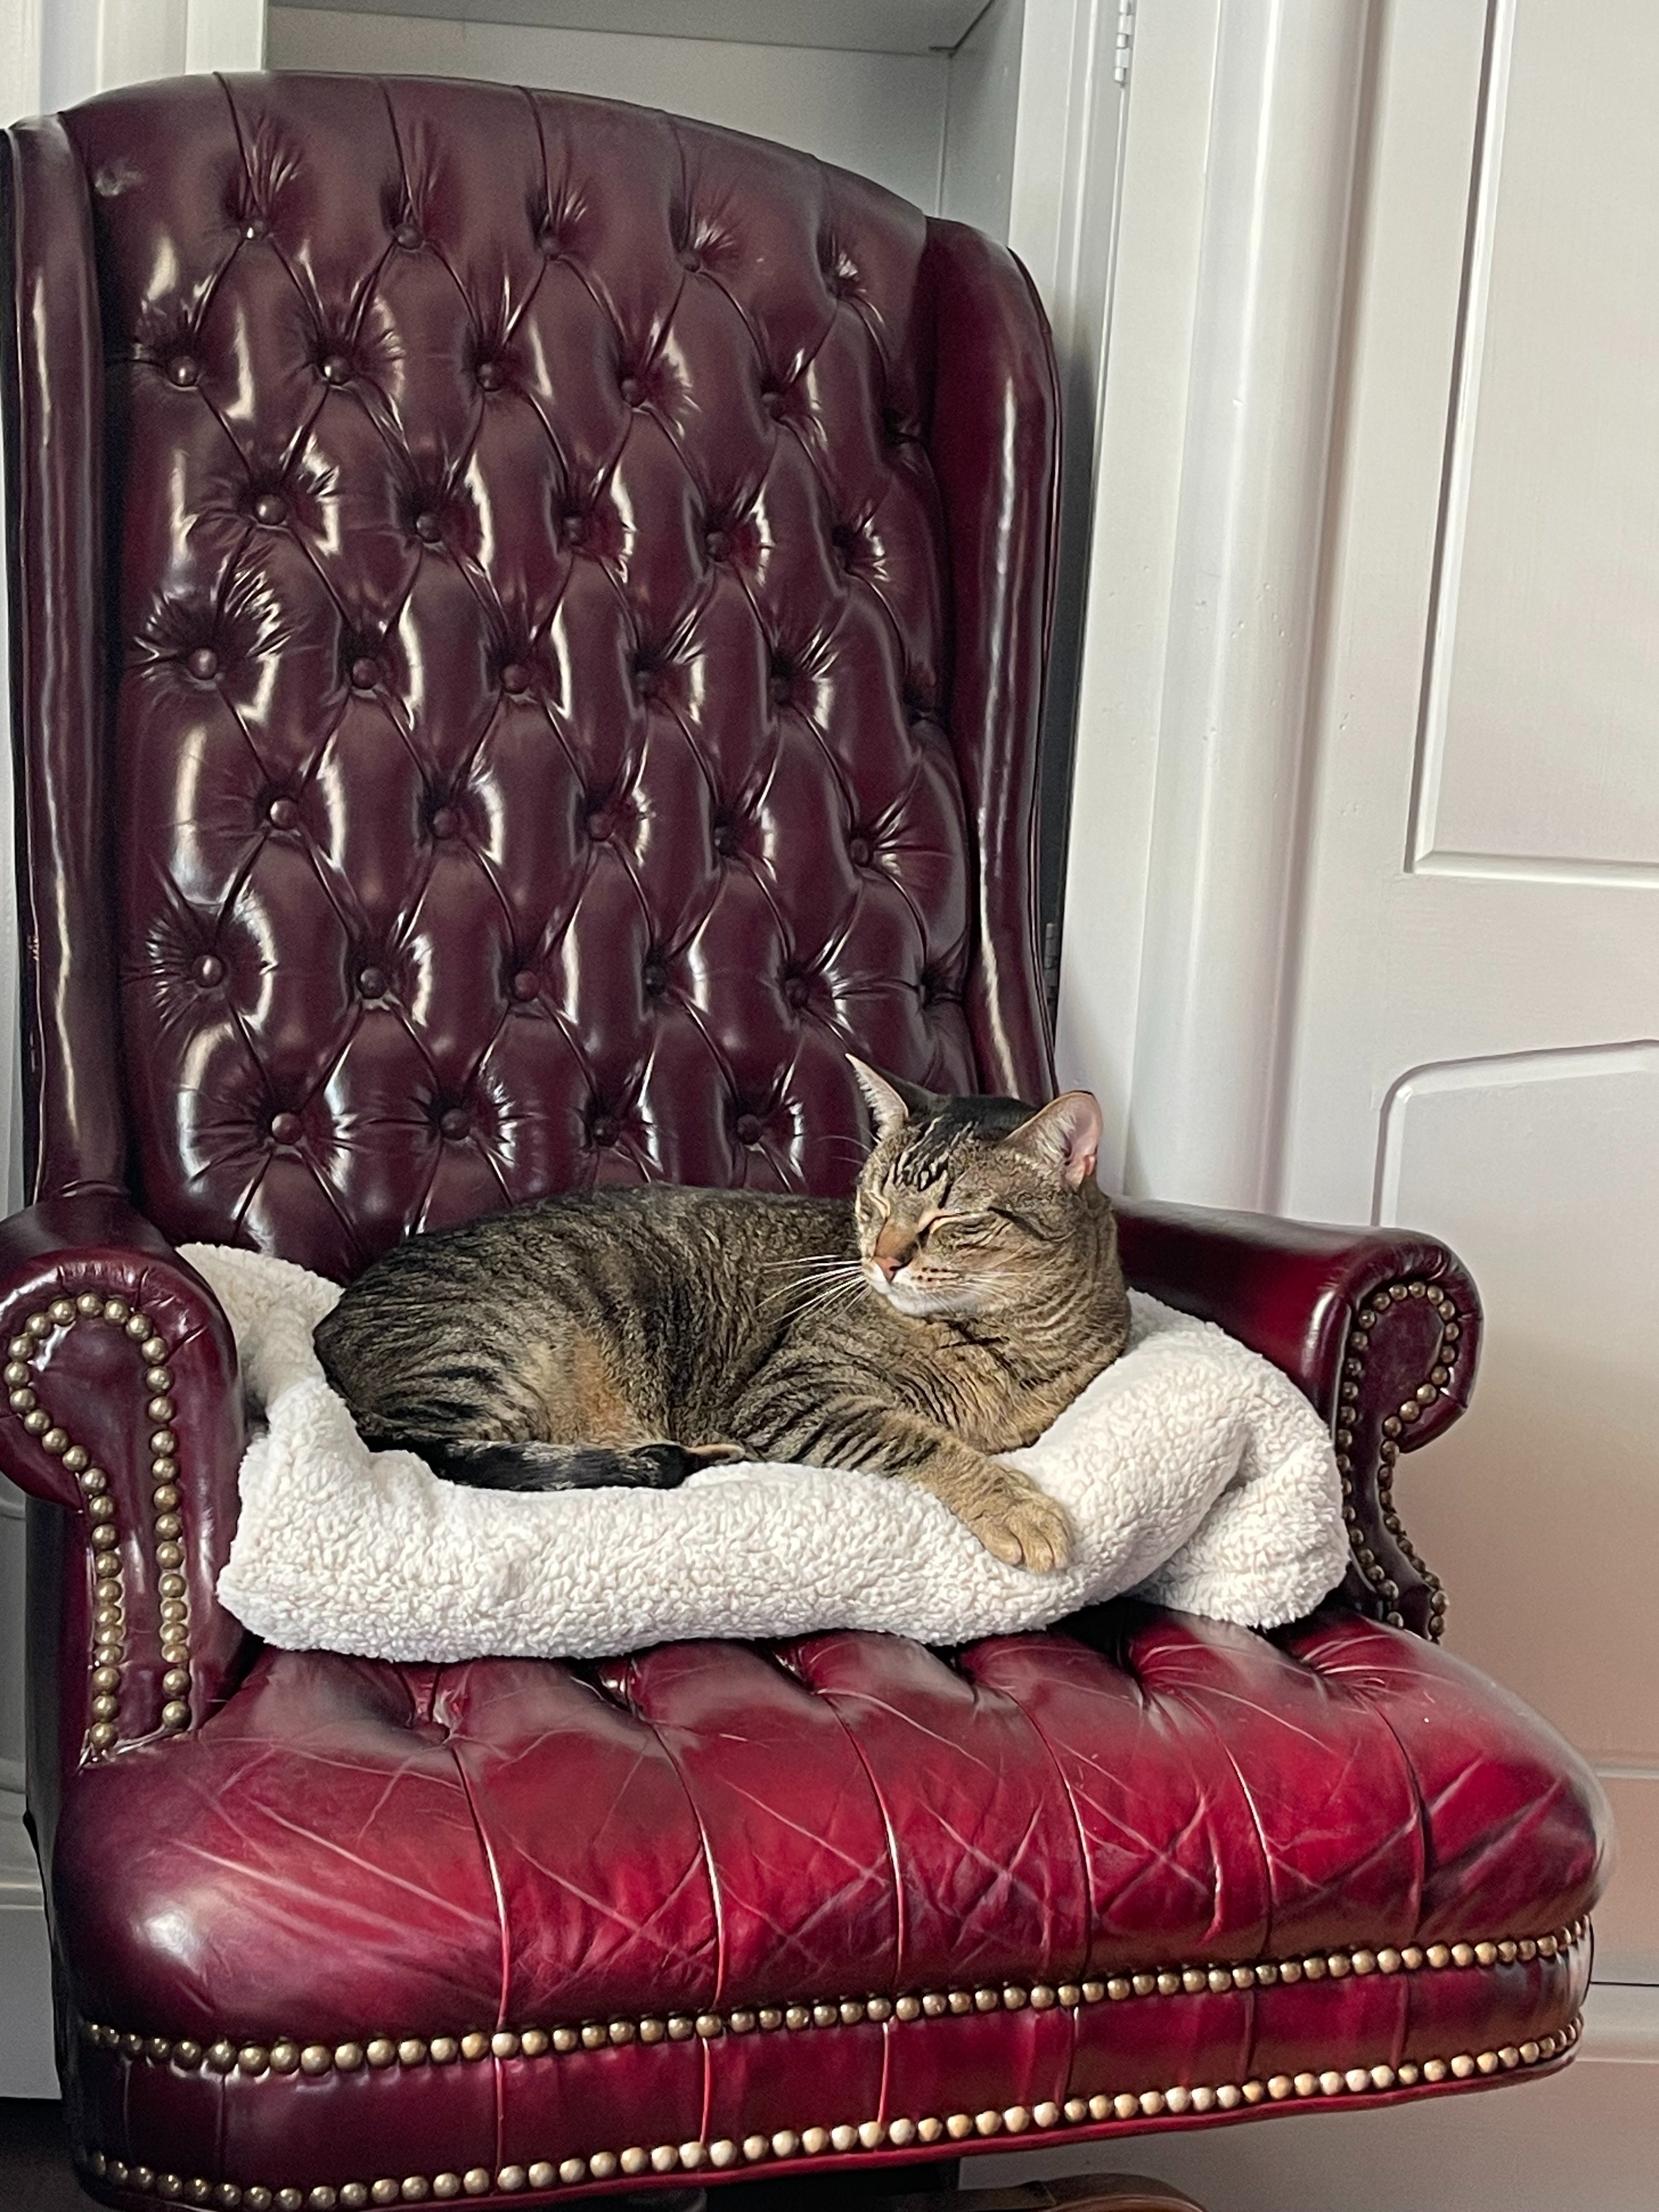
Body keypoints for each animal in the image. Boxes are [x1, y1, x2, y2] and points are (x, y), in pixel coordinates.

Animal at [313, 1059, 1131, 1573]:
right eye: (874, 1202)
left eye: (954, 1219)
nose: (883, 1259)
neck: (1010, 1342)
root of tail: (328, 1324)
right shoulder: (799, 1392)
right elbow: (920, 1440)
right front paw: (1016, 1507)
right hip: (493, 1347)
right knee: (437, 1450)